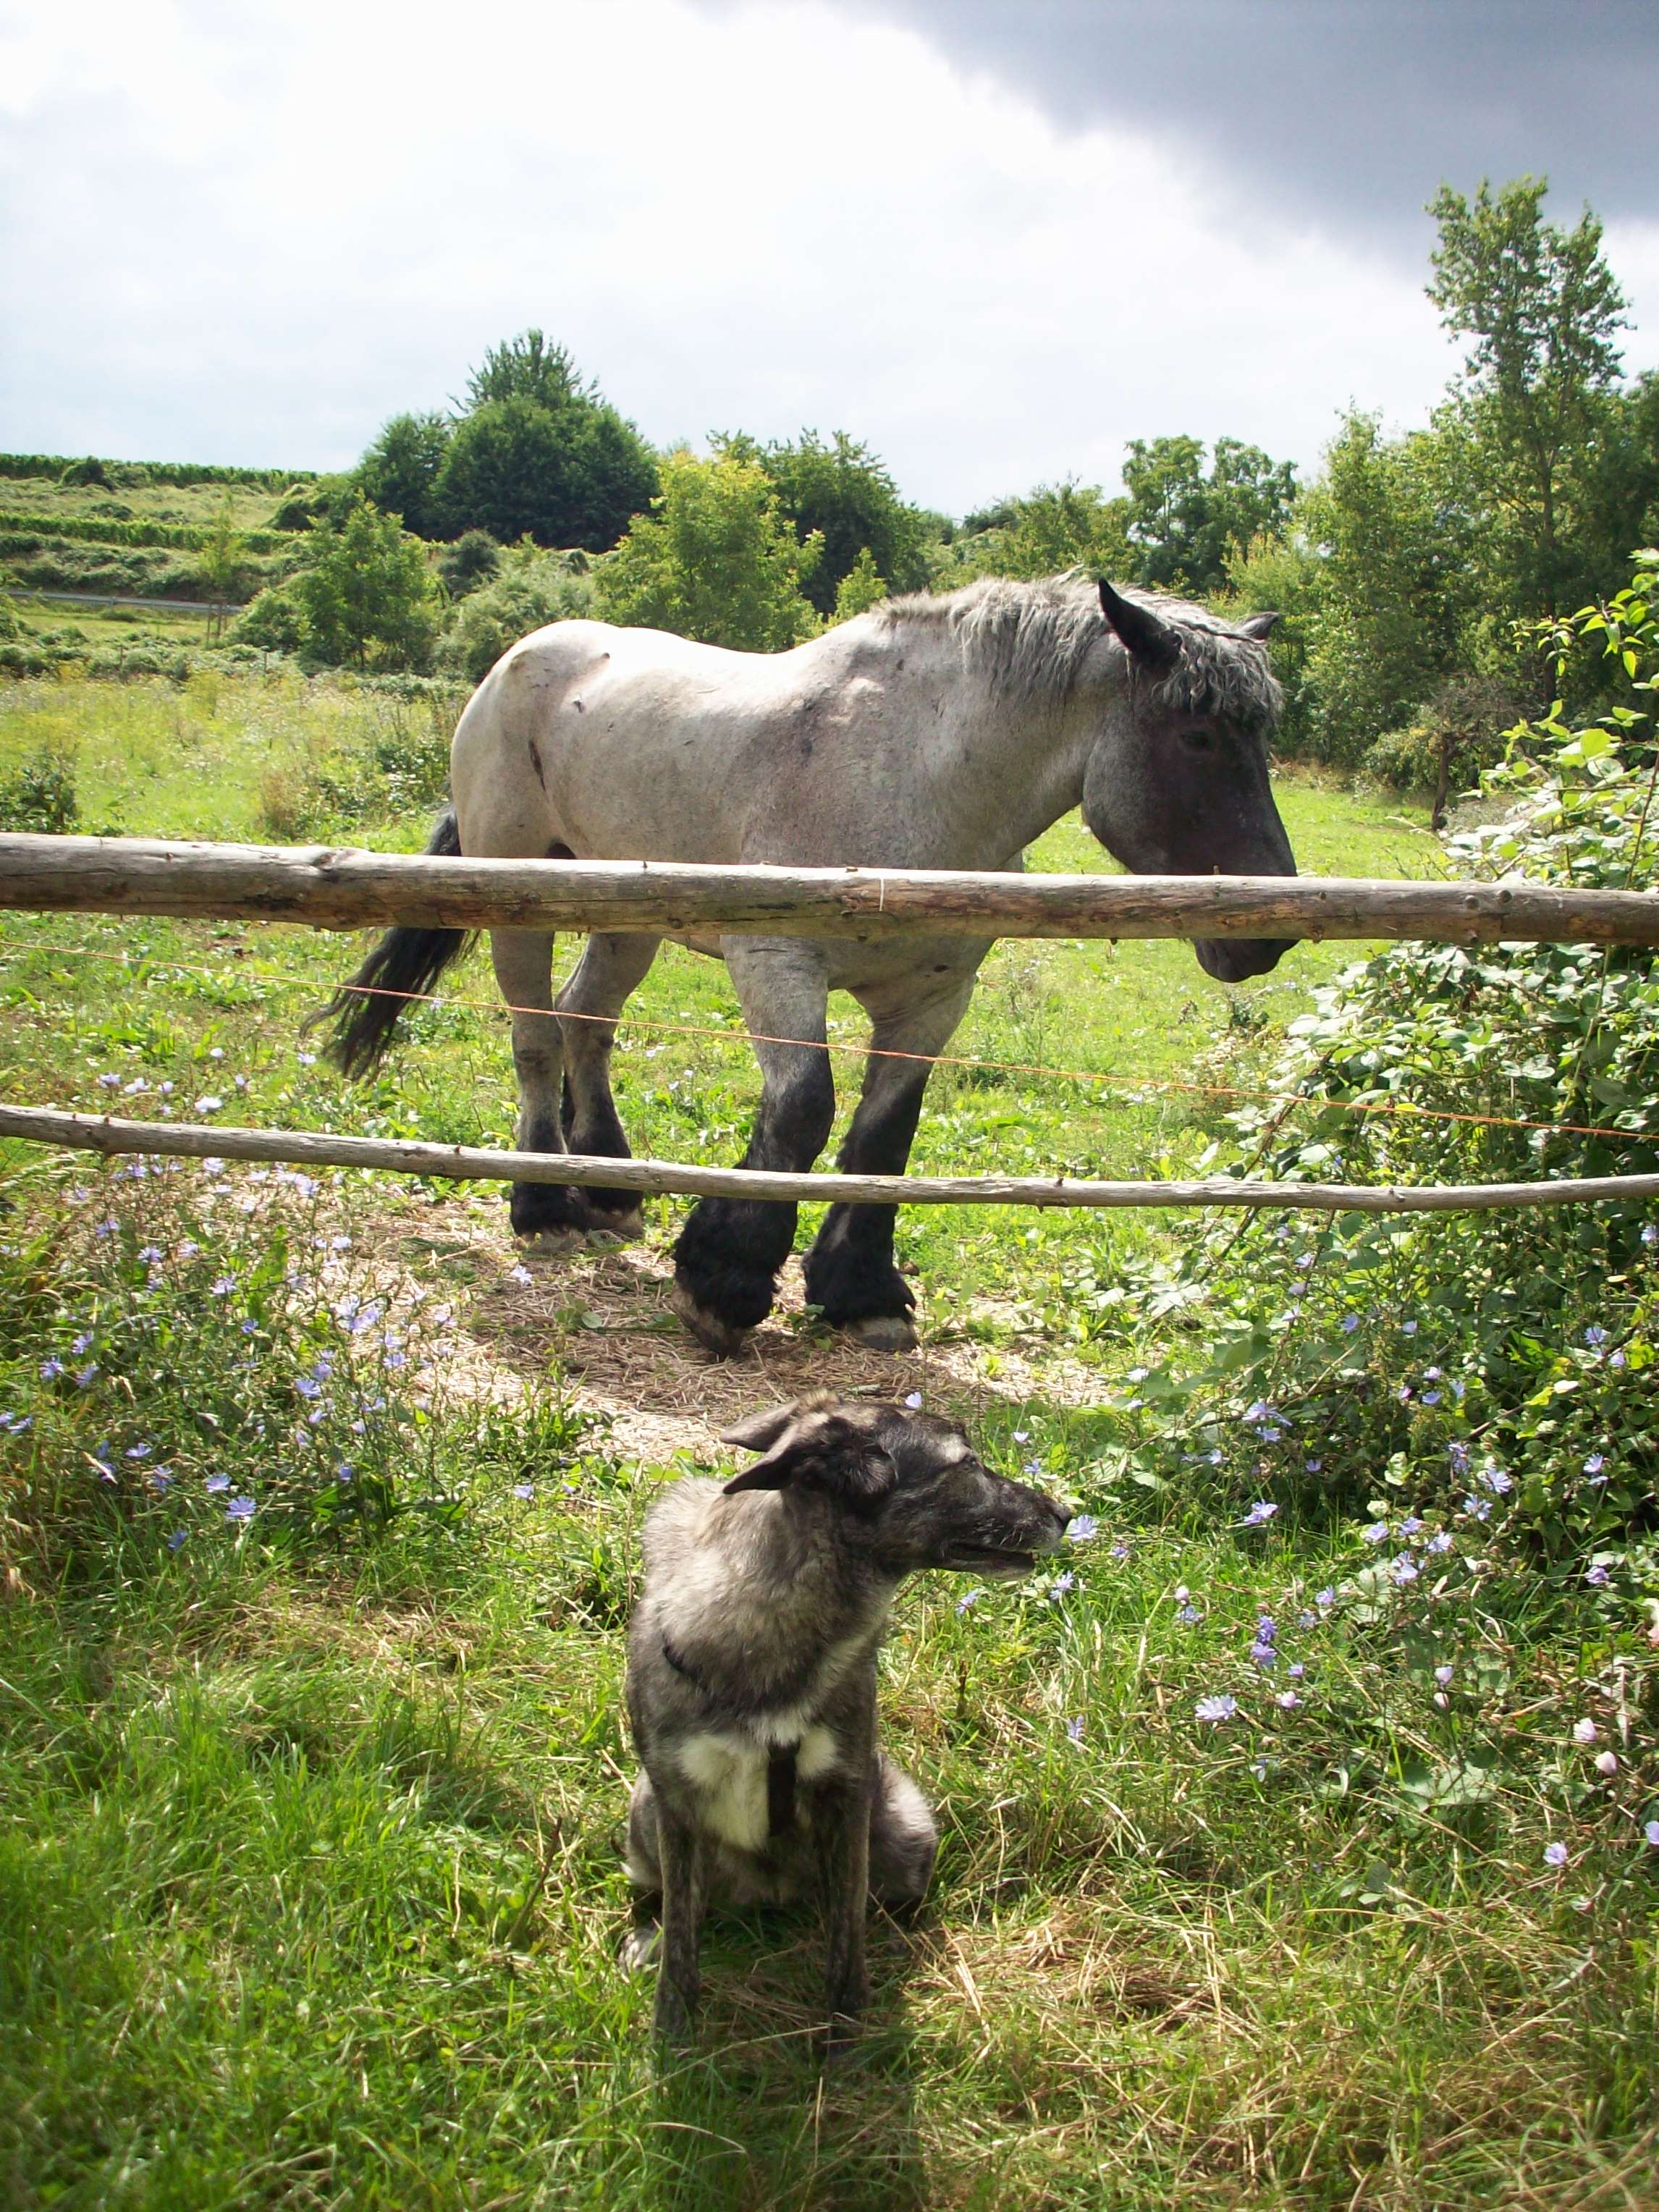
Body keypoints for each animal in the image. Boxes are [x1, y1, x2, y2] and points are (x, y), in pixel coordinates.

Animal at [311, 575, 1300, 1345]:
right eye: (1197, 735)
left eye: (1259, 737)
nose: (1269, 931)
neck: (915, 775)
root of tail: (518, 658)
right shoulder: (777, 965)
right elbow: (802, 1112)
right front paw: (725, 1281)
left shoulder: (933, 1000)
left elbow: (884, 1133)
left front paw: (859, 1293)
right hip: (520, 895)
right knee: (534, 1036)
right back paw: (545, 1205)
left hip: (629, 913)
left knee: (585, 1020)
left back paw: (608, 1183)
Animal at [619, 1389, 1065, 2043]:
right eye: (968, 1464)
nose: (1065, 1513)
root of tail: (772, 1894)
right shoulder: (677, 1801)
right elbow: (682, 1939)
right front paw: (673, 2033)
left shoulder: (847, 1791)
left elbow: (846, 1935)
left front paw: (844, 2039)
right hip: (643, 1811)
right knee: (675, 1899)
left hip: (906, 1826)